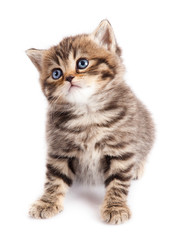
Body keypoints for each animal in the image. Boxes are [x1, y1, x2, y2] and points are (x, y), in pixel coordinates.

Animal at [25, 19, 155, 224]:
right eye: (56, 73)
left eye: (82, 63)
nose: (69, 78)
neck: (87, 113)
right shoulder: (60, 150)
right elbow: (54, 178)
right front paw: (47, 202)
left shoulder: (121, 149)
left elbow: (118, 181)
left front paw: (115, 206)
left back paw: (138, 167)